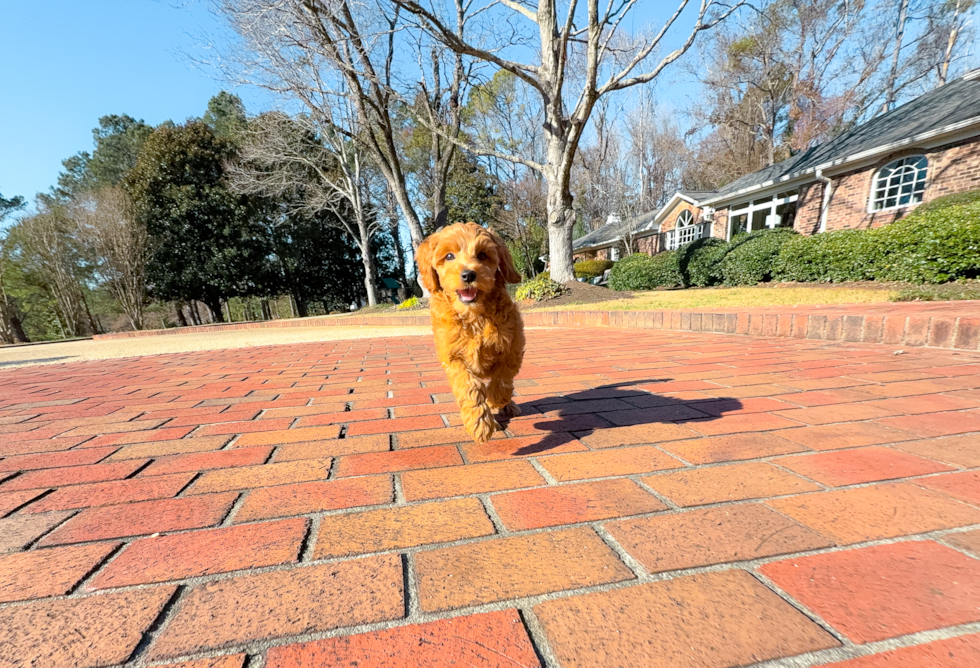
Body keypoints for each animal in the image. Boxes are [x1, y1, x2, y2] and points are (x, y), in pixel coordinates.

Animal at [416, 223, 524, 444]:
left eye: (482, 255)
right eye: (449, 256)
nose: (468, 275)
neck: (474, 316)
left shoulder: (513, 345)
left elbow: (503, 377)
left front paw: (497, 399)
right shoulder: (453, 357)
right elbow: (468, 386)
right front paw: (480, 424)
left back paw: (507, 405)